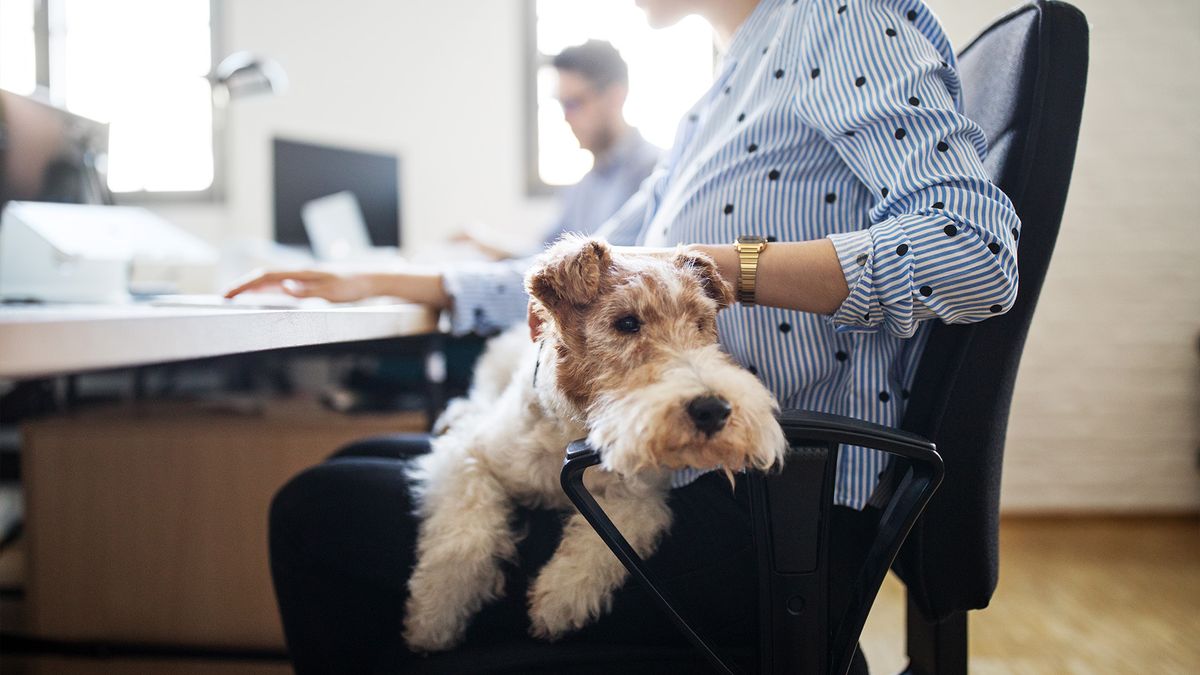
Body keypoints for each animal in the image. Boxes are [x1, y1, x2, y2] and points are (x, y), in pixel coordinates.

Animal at [403, 234, 787, 648]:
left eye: (701, 323)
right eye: (627, 322)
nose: (713, 410)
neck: (574, 430)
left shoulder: (639, 498)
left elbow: (603, 541)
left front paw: (558, 599)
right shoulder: (468, 457)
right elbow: (463, 540)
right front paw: (433, 619)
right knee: (475, 400)